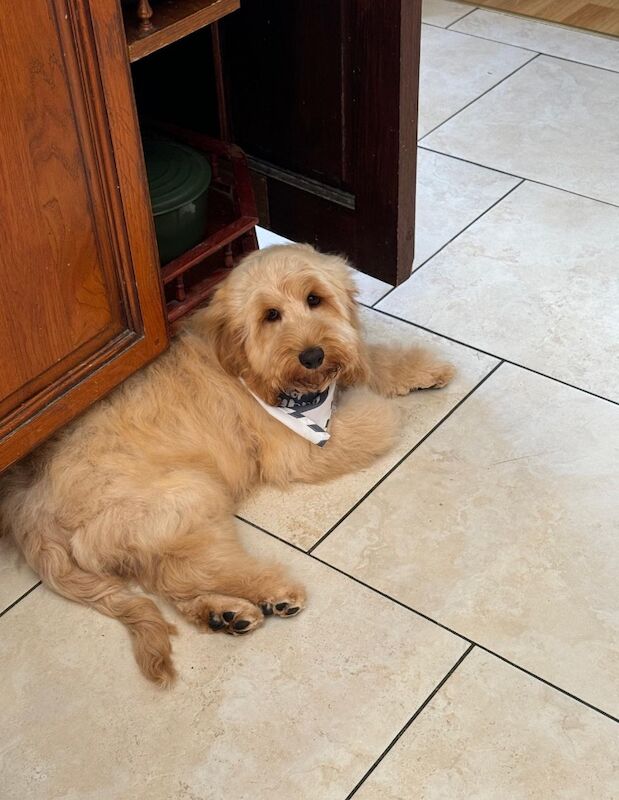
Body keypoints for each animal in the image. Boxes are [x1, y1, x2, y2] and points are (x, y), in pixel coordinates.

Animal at [0, 242, 456, 680]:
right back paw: (272, 592)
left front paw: (422, 368)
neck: (256, 372)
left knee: (170, 579)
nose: (312, 356)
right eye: (270, 315)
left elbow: (368, 360)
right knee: (202, 567)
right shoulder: (297, 450)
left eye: (315, 299)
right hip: (185, 497)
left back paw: (223, 614)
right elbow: (373, 418)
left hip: (152, 531)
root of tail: (30, 504)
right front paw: (380, 405)